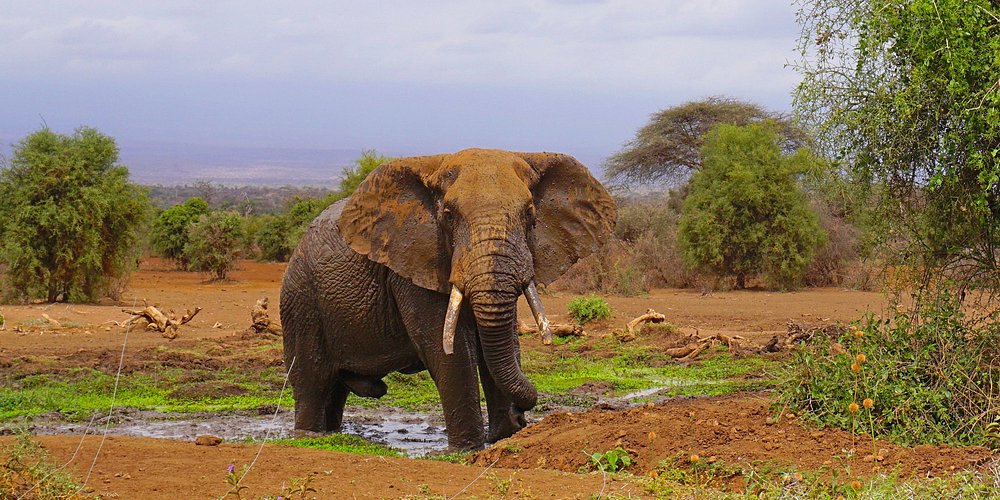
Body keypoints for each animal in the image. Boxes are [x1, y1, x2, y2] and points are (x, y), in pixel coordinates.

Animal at [279, 148, 616, 451]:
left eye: (530, 214)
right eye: (448, 216)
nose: (521, 416)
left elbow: (502, 340)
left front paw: (504, 437)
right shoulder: (413, 264)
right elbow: (447, 350)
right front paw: (467, 450)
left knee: (334, 390)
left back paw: (331, 435)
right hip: (301, 301)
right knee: (311, 380)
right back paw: (310, 438)